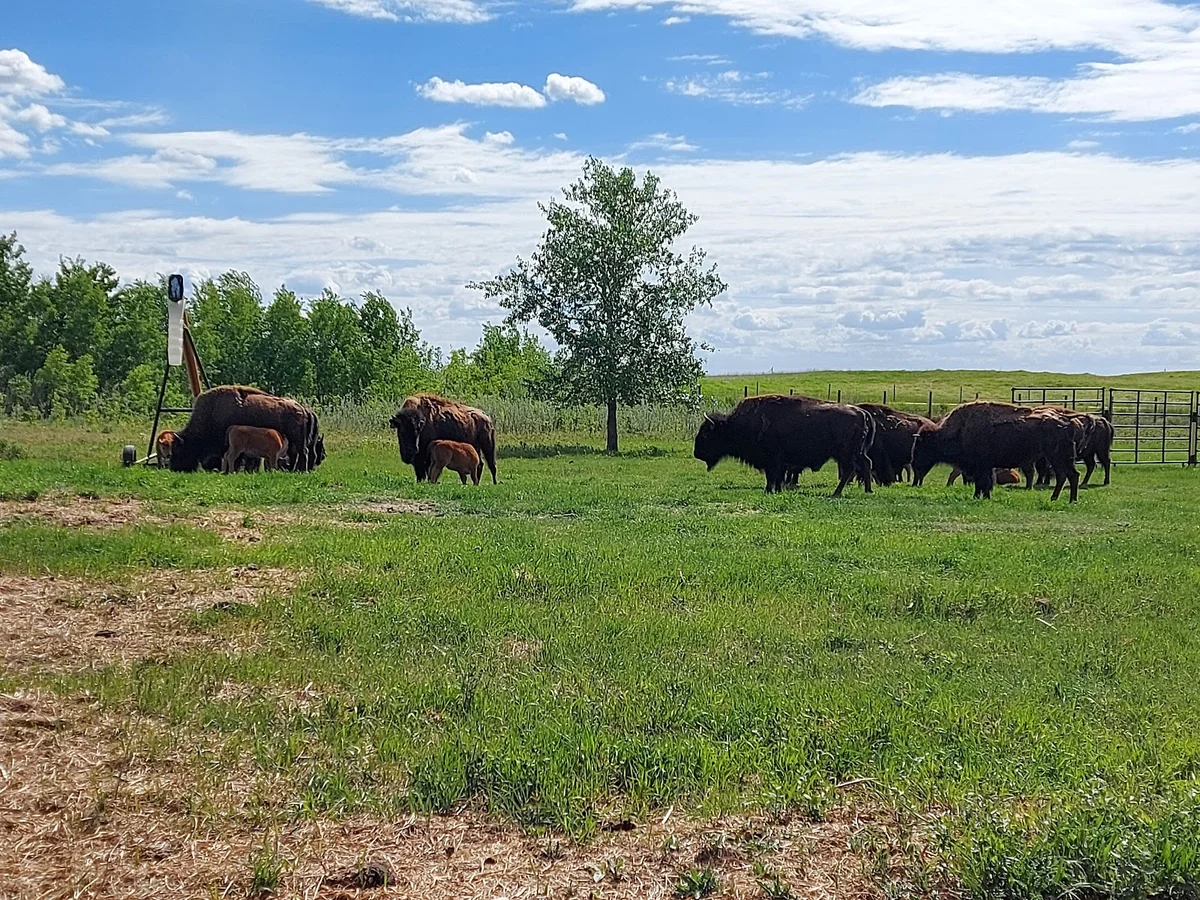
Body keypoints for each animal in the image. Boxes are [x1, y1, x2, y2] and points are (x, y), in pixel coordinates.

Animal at [693, 394, 875, 496]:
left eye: (706, 434)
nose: (696, 453)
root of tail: (862, 412)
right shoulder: (778, 461)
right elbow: (777, 476)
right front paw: (777, 490)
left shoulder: (772, 459)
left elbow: (772, 475)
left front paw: (769, 490)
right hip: (857, 452)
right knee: (866, 464)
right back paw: (867, 490)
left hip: (846, 454)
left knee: (849, 470)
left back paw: (836, 493)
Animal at [912, 401, 1080, 501]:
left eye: (922, 445)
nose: (914, 463)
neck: (961, 429)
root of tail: (1067, 420)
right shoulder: (983, 466)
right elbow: (982, 482)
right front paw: (980, 496)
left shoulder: (982, 465)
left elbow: (983, 481)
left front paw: (981, 497)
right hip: (1058, 458)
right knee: (1065, 476)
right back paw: (1057, 498)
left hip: (1058, 457)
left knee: (1070, 475)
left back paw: (1070, 500)